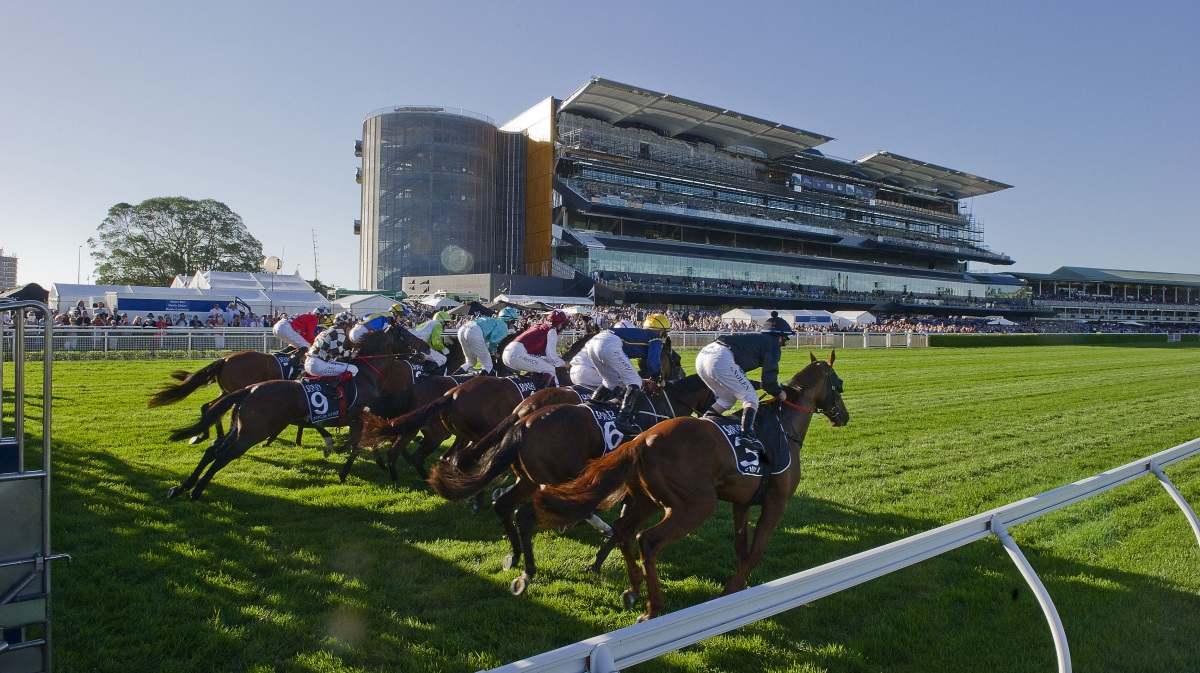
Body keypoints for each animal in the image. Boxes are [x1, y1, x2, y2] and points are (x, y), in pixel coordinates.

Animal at [163, 326, 417, 499]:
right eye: (406, 335)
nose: (420, 351)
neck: (365, 374)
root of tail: (250, 390)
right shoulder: (361, 417)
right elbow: (365, 443)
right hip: (252, 433)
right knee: (222, 455)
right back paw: (196, 491)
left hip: (239, 427)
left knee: (212, 448)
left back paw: (182, 486)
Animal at [429, 367, 710, 592]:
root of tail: (522, 420)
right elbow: (619, 524)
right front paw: (597, 556)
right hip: (556, 477)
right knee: (525, 513)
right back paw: (528, 569)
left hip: (530, 479)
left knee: (505, 505)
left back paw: (515, 555)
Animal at [535, 352, 854, 619]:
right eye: (838, 385)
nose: (844, 416)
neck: (784, 426)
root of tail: (641, 440)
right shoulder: (776, 501)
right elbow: (756, 552)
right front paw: (730, 589)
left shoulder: (741, 501)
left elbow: (741, 547)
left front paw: (738, 586)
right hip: (696, 505)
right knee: (646, 540)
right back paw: (653, 607)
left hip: (647, 500)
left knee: (623, 531)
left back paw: (633, 589)